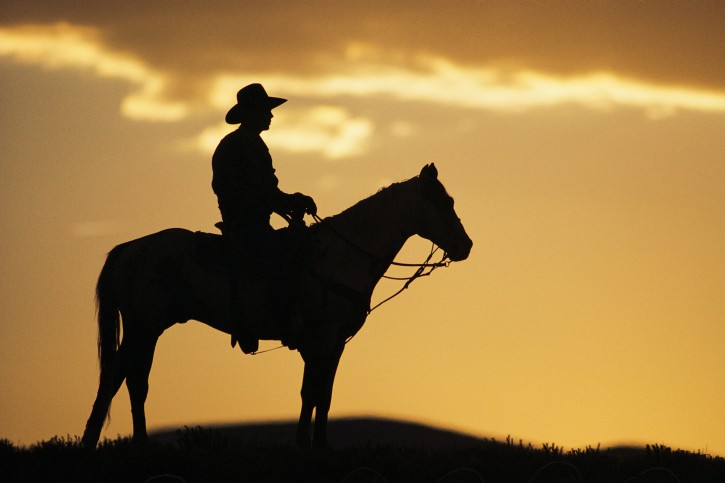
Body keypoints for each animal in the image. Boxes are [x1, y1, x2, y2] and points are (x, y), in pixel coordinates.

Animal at [82, 164, 472, 450]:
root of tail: (128, 248)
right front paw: (305, 446)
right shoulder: (321, 339)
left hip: (145, 328)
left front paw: (316, 445)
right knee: (124, 377)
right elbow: (312, 393)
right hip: (143, 326)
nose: (466, 245)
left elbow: (322, 395)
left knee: (128, 378)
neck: (342, 256)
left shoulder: (334, 345)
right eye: (447, 201)